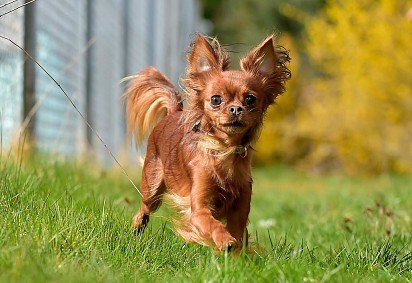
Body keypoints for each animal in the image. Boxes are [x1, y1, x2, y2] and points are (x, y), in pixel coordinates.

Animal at [125, 33, 290, 251]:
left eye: (250, 99)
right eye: (216, 99)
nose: (235, 109)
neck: (224, 150)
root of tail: (173, 113)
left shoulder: (240, 212)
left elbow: (239, 238)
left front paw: (235, 253)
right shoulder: (199, 210)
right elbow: (213, 224)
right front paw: (224, 240)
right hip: (152, 185)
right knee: (145, 206)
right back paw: (137, 225)